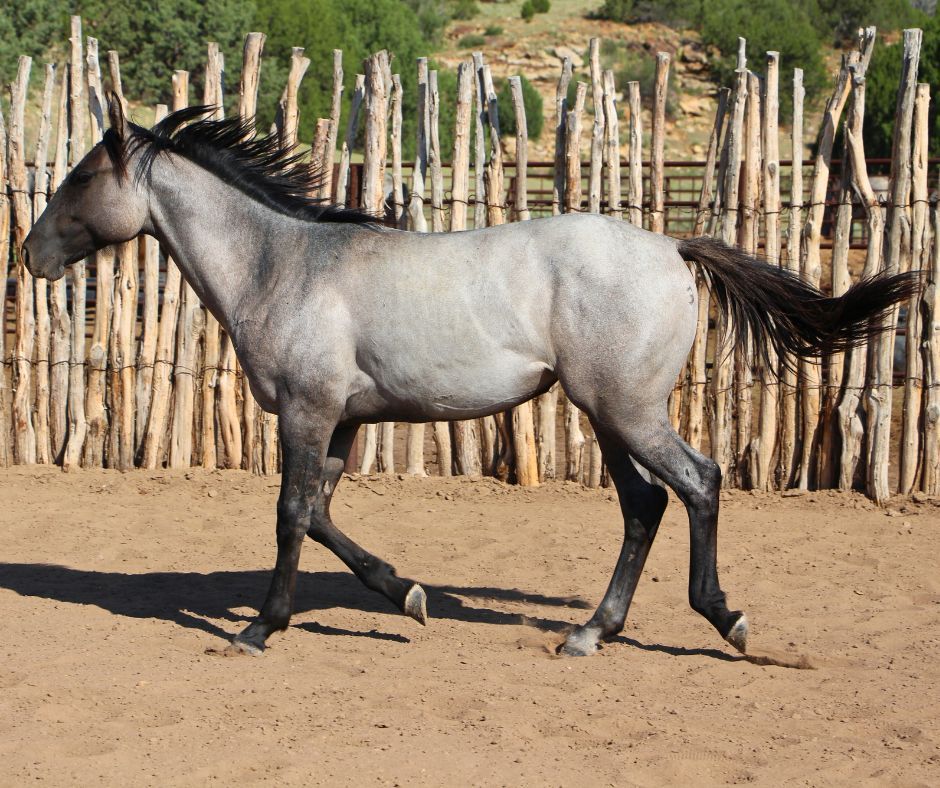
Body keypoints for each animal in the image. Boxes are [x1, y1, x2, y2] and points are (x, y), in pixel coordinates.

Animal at [22, 98, 918, 658]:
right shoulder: (342, 421)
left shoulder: (306, 414)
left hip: (626, 408)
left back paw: (723, 620)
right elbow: (320, 516)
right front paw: (407, 595)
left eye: (81, 179)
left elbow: (289, 516)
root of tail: (672, 246)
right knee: (644, 506)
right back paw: (590, 632)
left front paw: (258, 630)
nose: (29, 255)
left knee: (697, 482)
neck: (285, 265)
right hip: (605, 414)